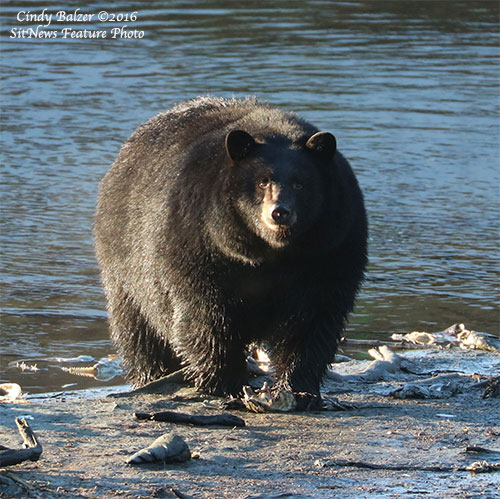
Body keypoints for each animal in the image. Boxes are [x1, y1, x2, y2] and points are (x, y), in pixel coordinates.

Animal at [94, 97, 368, 410]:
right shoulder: (199, 241)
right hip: (123, 265)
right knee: (137, 329)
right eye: (262, 181)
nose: (280, 212)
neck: (271, 253)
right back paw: (153, 375)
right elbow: (205, 314)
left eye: (301, 182)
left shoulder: (331, 248)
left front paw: (300, 389)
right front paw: (224, 384)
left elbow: (313, 320)